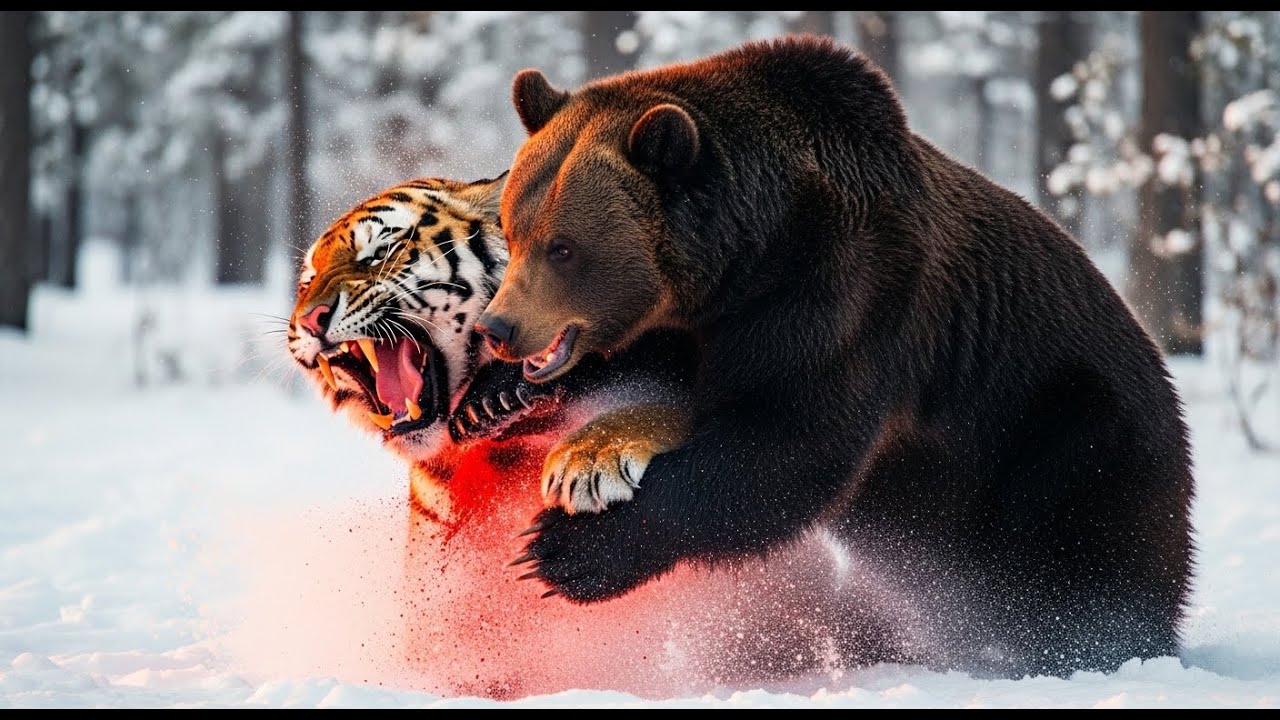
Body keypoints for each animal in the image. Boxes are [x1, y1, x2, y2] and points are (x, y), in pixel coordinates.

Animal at [474, 34, 1196, 679]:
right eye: (513, 230)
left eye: (564, 247)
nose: (499, 327)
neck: (746, 258)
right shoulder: (696, 323)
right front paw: (497, 395)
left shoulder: (843, 297)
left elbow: (786, 444)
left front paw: (564, 549)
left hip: (1066, 432)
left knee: (1083, 557)